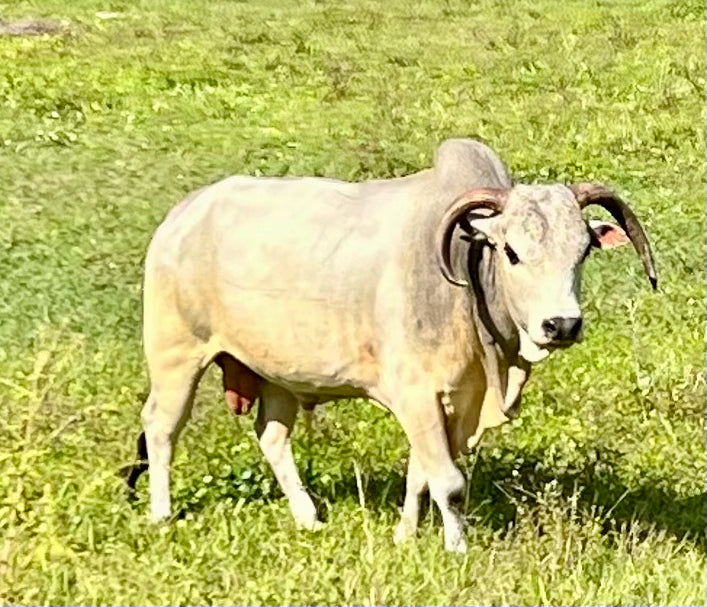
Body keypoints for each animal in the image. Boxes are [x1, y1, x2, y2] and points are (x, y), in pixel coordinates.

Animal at [122, 138, 656, 552]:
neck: (466, 274)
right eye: (511, 251)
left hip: (276, 373)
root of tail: (184, 213)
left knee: (271, 437)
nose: (561, 324)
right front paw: (457, 548)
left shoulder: (454, 402)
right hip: (176, 356)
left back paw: (308, 516)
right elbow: (449, 482)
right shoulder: (416, 394)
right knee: (161, 428)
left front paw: (405, 535)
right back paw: (162, 514)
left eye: (583, 250)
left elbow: (422, 473)